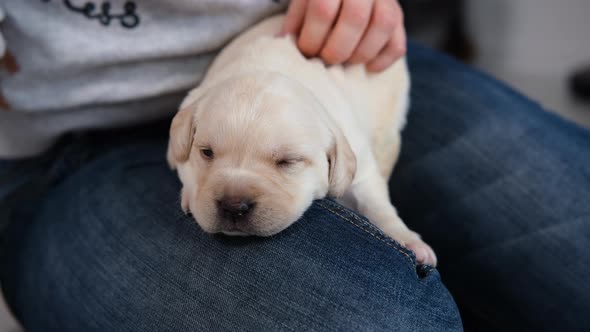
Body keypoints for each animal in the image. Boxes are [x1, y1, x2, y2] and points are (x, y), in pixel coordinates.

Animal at [169, 15, 438, 266]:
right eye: (207, 152)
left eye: (288, 161)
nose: (234, 206)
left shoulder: (359, 161)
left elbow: (376, 203)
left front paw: (408, 240)